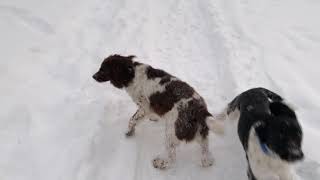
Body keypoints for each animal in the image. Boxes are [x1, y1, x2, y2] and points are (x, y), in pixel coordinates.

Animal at [91, 54, 224, 169]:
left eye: (103, 69)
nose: (93, 76)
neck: (131, 73)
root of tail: (200, 110)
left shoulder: (144, 107)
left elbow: (132, 119)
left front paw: (129, 132)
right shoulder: (149, 108)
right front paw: (154, 118)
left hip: (172, 131)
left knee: (171, 156)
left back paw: (159, 163)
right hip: (201, 132)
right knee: (206, 155)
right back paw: (206, 162)